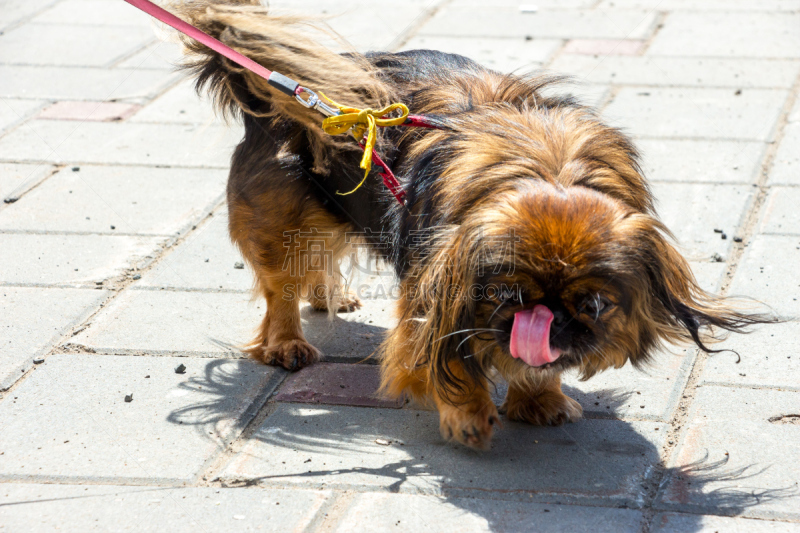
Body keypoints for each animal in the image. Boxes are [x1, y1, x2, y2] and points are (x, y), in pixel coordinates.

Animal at [170, 1, 776, 448]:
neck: (549, 168)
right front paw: (470, 413)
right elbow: (446, 361)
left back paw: (329, 297)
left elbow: (534, 364)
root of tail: (274, 89)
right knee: (280, 288)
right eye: (505, 294)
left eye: (594, 303)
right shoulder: (434, 295)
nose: (547, 319)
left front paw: (539, 399)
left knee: (318, 264)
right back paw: (288, 344)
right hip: (283, 218)